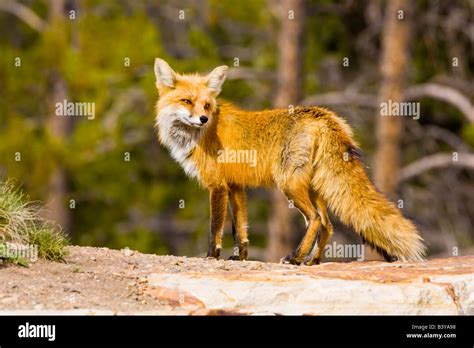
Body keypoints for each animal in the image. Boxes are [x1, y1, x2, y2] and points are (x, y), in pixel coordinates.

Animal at [155, 58, 426, 266]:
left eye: (207, 105)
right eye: (187, 101)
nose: (203, 118)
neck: (197, 135)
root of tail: (322, 116)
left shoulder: (218, 185)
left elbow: (215, 228)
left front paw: (211, 256)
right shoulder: (235, 186)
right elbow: (240, 228)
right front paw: (240, 258)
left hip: (289, 185)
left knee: (315, 220)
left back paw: (295, 258)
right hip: (314, 187)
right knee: (327, 225)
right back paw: (312, 261)